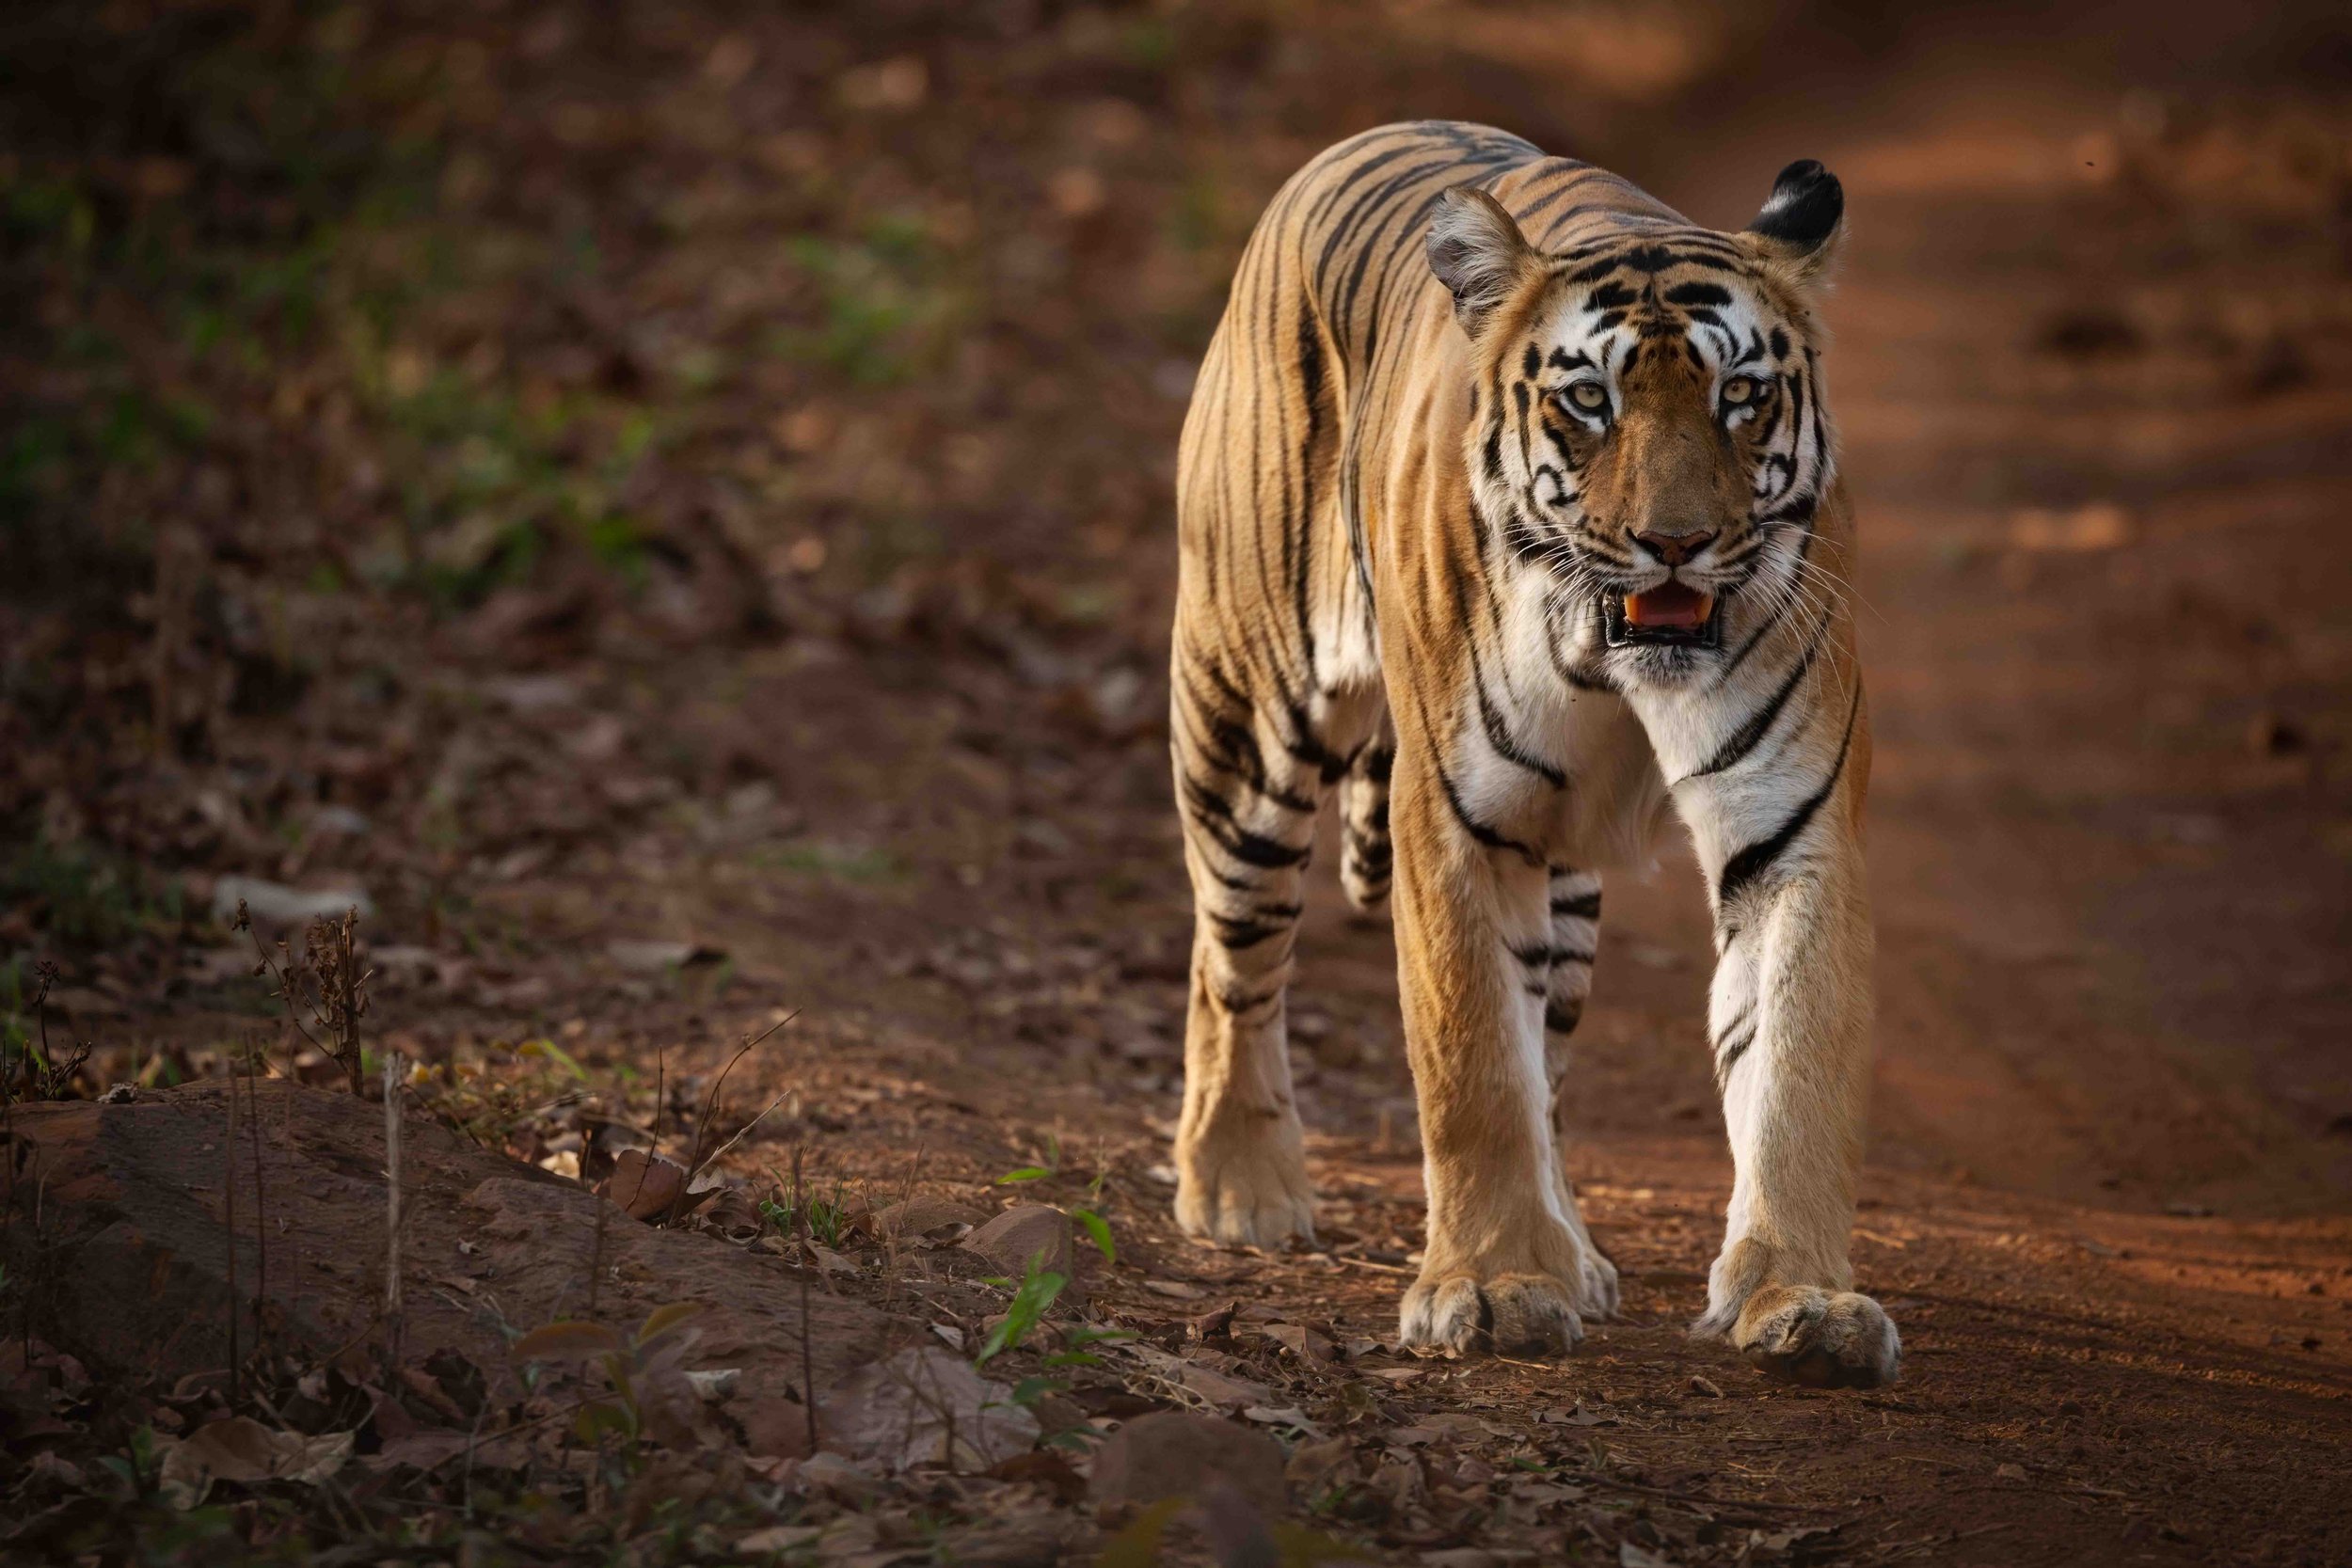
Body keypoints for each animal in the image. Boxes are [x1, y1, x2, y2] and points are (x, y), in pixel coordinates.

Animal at [1167, 120, 1897, 1388]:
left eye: (1741, 395)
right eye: (1589, 401)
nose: (1673, 542)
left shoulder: (1793, 832)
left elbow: (1793, 1066)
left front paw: (1802, 1299)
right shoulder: (1455, 822)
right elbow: (1470, 1065)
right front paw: (1492, 1286)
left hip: (1566, 887)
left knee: (1545, 1049)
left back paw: (1578, 1253)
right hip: (1247, 722)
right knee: (1232, 959)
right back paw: (1237, 1186)